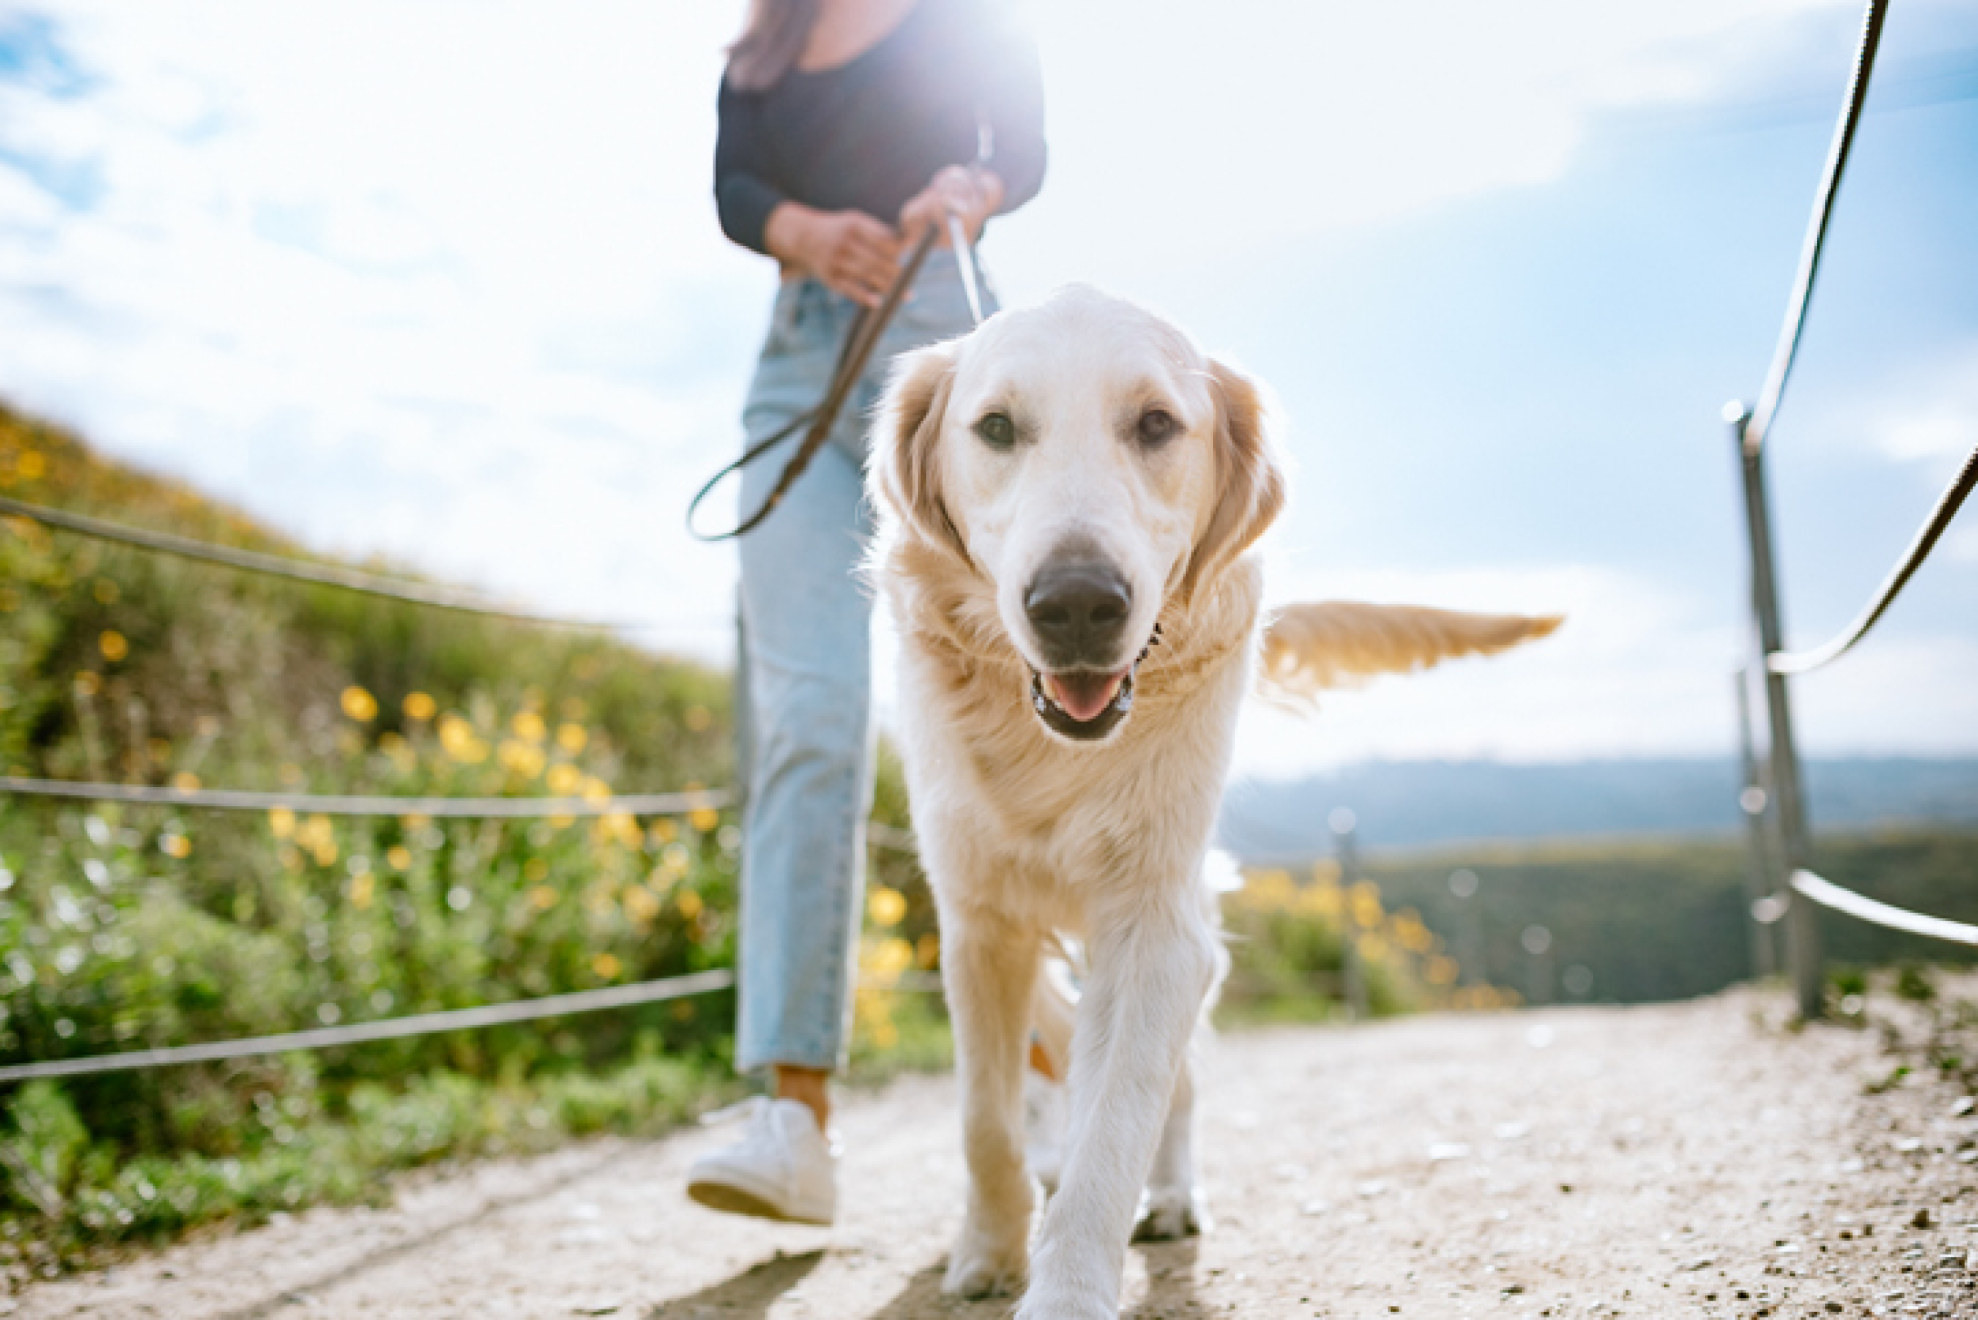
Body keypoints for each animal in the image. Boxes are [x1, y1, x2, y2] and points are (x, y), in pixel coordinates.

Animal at [874, 284, 1550, 1314]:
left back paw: (1172, 1194)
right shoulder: (978, 921)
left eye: (1156, 424)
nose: (1077, 605)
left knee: (1174, 1084)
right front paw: (989, 1249)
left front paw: (1067, 1286)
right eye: (995, 428)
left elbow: (1115, 1125)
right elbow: (983, 1116)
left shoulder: (1157, 923)